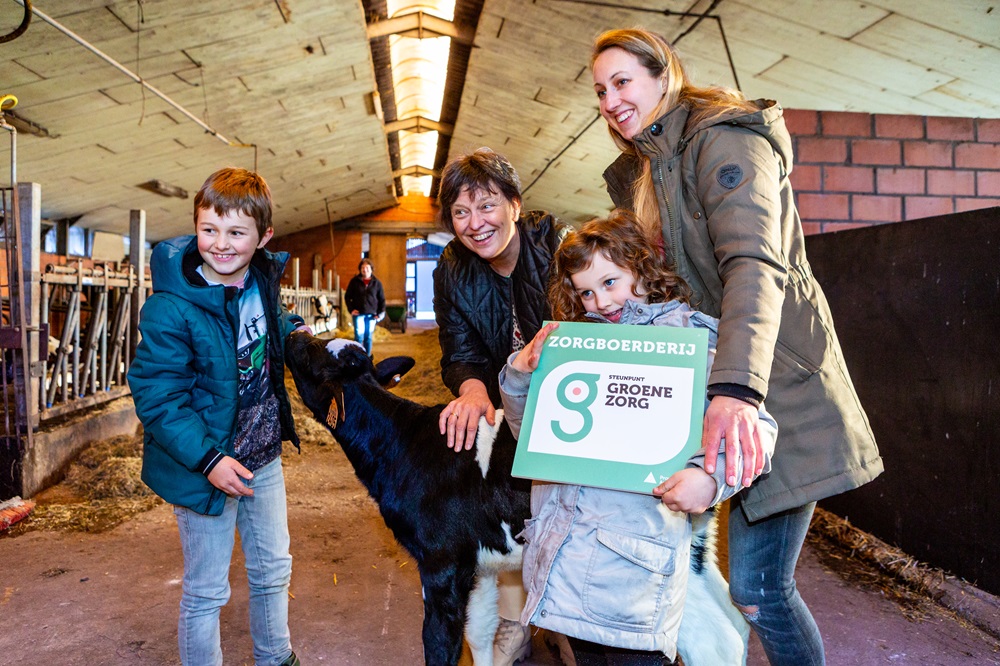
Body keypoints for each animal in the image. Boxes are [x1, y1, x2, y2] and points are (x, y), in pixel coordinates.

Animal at [286, 332, 748, 664]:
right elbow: (480, 634)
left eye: (311, 354)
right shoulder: (480, 567)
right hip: (696, 558)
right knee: (738, 623)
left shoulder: (441, 562)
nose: (295, 330)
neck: (404, 442)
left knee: (714, 641)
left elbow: (439, 640)